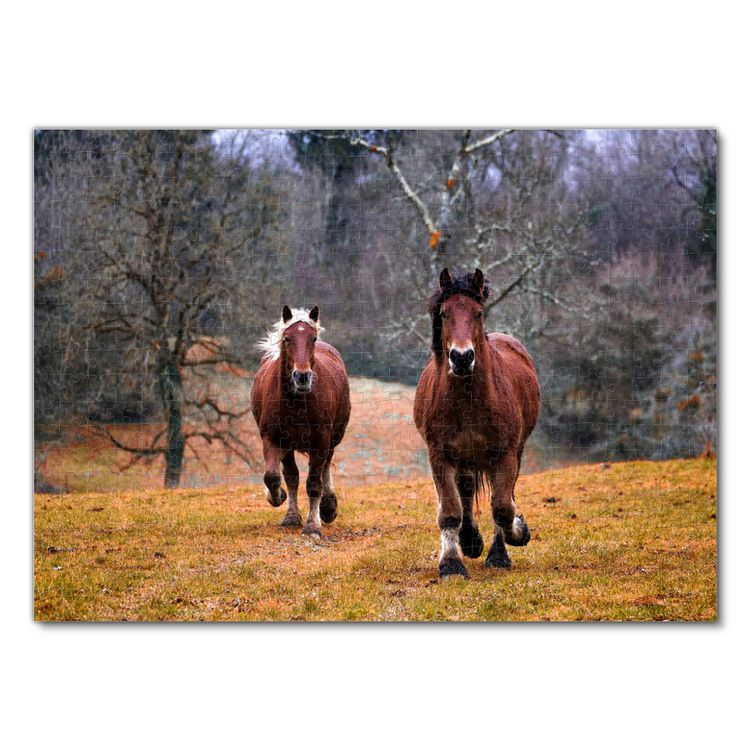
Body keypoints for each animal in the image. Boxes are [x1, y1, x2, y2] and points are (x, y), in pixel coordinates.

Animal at [251, 305, 351, 537]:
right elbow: (275, 477)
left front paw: (313, 524)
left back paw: (328, 507)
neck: (296, 401)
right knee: (292, 475)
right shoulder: (273, 438)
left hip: (332, 438)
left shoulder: (321, 440)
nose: (302, 377)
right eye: (287, 338)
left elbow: (314, 483)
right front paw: (280, 501)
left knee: (325, 467)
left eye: (312, 338)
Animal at [414, 268, 540, 578]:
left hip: (512, 452)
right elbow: (450, 510)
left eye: (478, 313)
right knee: (466, 490)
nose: (461, 357)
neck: (467, 400)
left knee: (500, 495)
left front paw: (510, 543)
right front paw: (451, 563)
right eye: (444, 313)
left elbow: (503, 507)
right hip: (465, 457)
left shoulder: (505, 454)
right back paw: (469, 540)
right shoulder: (440, 455)